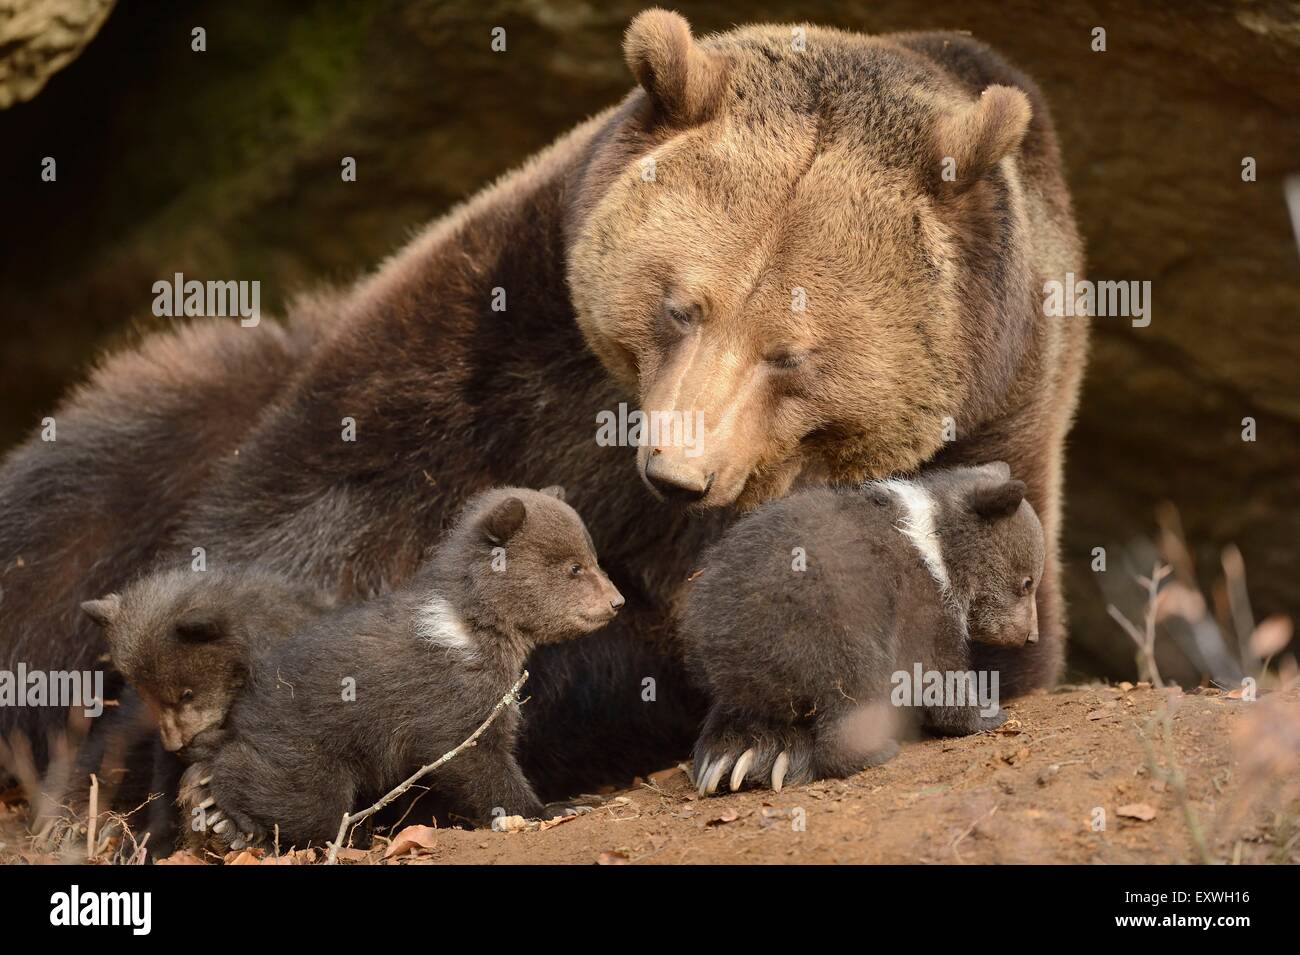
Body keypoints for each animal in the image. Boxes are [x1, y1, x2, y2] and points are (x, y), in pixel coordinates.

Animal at [0, 9, 1086, 815]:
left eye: (791, 354)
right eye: (679, 304)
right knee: (68, 506)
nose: (678, 470)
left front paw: (753, 742)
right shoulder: (493, 335)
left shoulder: (993, 431)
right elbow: (314, 514)